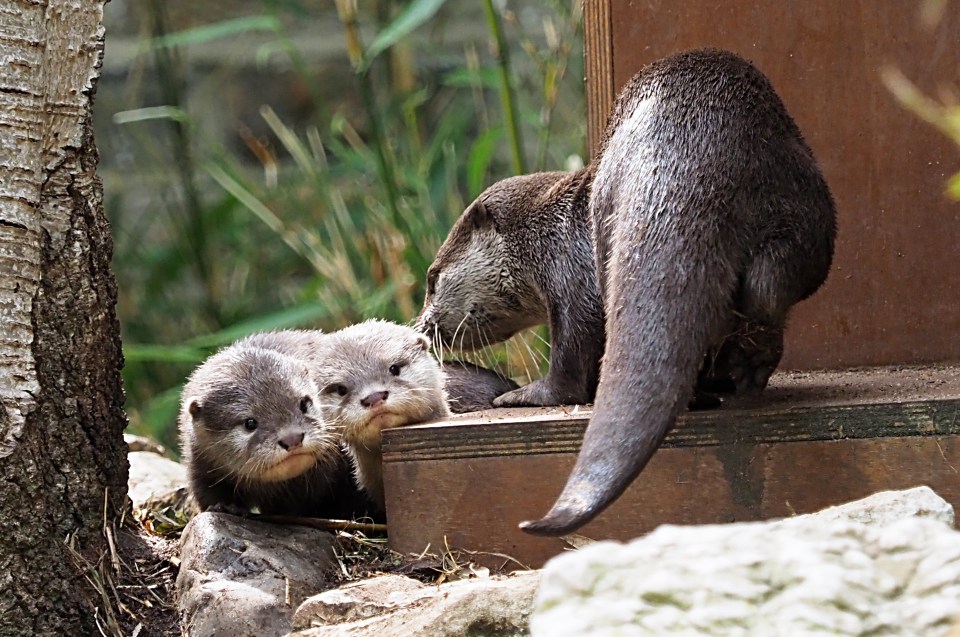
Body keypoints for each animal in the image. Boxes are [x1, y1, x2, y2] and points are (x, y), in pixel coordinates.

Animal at [416, 49, 836, 536]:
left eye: (432, 279)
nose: (421, 328)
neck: (544, 233)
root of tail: (687, 155)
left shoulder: (565, 275)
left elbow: (573, 355)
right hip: (799, 215)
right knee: (765, 293)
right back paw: (740, 371)